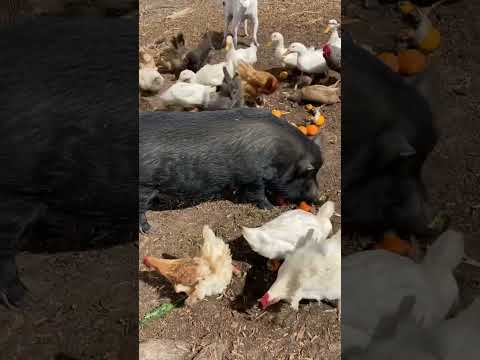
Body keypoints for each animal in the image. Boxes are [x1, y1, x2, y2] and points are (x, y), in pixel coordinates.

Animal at [140, 109, 326, 232]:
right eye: (307, 174)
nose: (318, 197)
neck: (279, 155)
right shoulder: (254, 177)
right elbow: (258, 194)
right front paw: (270, 208)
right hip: (145, 186)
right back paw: (149, 230)